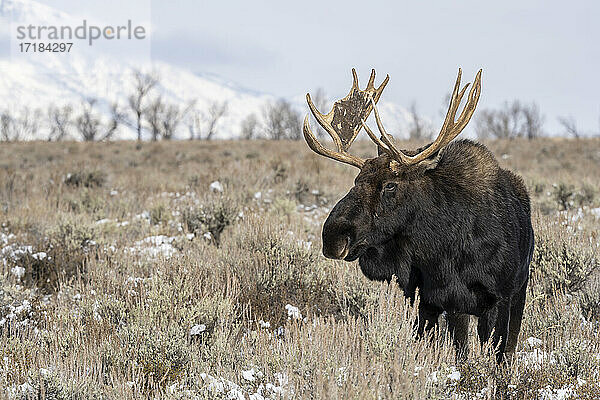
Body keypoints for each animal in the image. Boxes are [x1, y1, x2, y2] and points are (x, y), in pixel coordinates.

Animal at [304, 67, 536, 360]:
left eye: (390, 185)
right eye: (356, 180)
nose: (332, 237)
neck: (441, 245)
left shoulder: (498, 298)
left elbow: (497, 355)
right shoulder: (434, 299)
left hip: (518, 292)